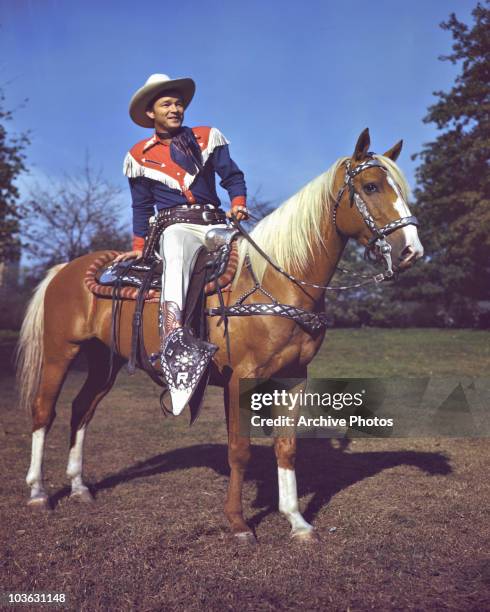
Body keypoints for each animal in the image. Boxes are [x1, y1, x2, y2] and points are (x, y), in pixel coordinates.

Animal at [17, 128, 424, 540]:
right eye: (371, 186)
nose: (411, 251)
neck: (276, 279)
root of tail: (66, 269)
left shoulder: (293, 378)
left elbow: (286, 448)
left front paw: (296, 520)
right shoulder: (239, 380)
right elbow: (239, 450)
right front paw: (239, 523)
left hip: (105, 362)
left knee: (82, 410)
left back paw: (80, 488)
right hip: (60, 354)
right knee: (44, 410)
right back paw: (38, 493)